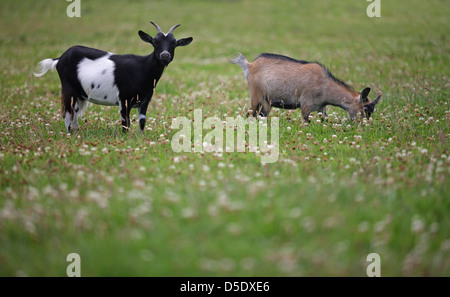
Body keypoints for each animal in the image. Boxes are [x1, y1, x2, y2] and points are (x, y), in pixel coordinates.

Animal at [33, 21, 192, 132]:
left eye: (174, 43)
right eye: (155, 42)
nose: (165, 55)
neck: (143, 68)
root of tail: (60, 58)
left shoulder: (145, 100)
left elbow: (142, 122)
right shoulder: (124, 99)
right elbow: (126, 124)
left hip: (80, 94)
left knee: (75, 114)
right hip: (68, 89)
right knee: (67, 114)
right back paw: (69, 134)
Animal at [230, 53, 382, 121]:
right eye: (365, 110)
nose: (363, 126)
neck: (325, 85)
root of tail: (249, 65)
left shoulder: (321, 107)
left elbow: (324, 119)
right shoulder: (306, 105)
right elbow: (306, 120)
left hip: (267, 101)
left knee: (262, 115)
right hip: (256, 95)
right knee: (250, 113)